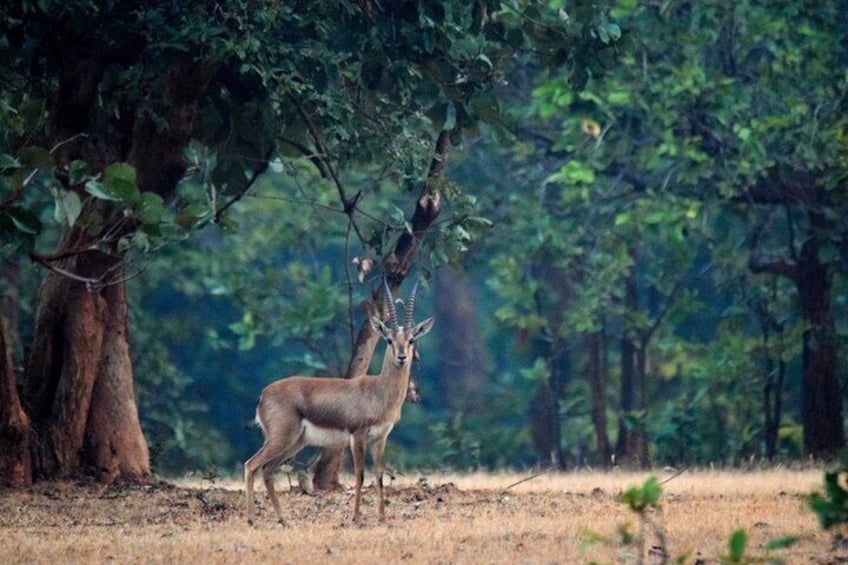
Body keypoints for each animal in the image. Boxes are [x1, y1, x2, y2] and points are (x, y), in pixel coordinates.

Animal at [243, 278, 430, 524]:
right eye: (389, 340)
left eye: (411, 339)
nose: (402, 357)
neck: (377, 392)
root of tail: (263, 395)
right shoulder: (358, 436)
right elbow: (360, 474)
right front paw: (356, 517)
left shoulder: (380, 438)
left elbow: (379, 474)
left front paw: (381, 518)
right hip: (281, 439)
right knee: (251, 465)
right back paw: (251, 519)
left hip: (295, 442)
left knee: (266, 469)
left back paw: (283, 520)